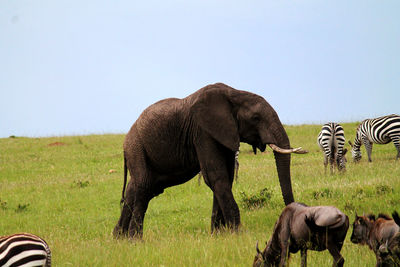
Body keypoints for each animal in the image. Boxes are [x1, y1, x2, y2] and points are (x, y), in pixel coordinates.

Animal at [114, 83, 308, 239]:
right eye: (255, 118)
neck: (235, 93)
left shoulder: (225, 133)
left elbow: (225, 177)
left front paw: (218, 234)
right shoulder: (202, 132)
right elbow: (216, 176)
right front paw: (236, 234)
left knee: (138, 188)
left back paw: (119, 238)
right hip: (136, 147)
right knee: (144, 185)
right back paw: (135, 240)